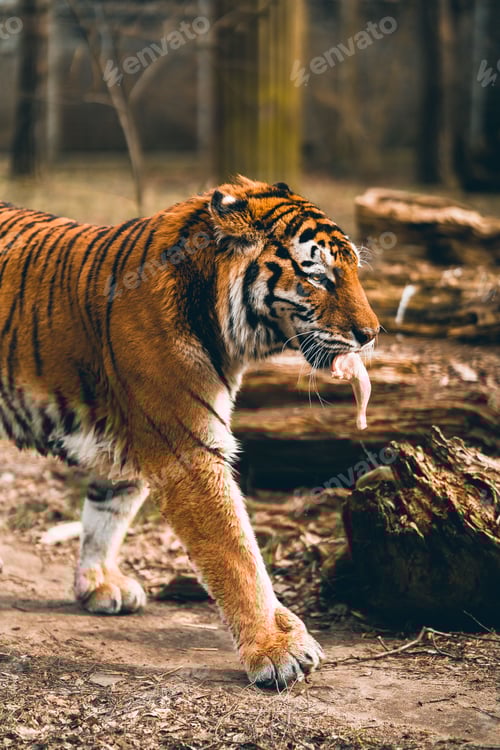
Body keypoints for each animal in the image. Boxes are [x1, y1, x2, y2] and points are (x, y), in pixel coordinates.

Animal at [0, 176, 379, 689]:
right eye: (318, 276)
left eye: (354, 269)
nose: (372, 334)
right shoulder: (188, 451)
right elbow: (236, 554)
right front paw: (276, 648)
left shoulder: (132, 438)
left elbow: (108, 513)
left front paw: (97, 584)